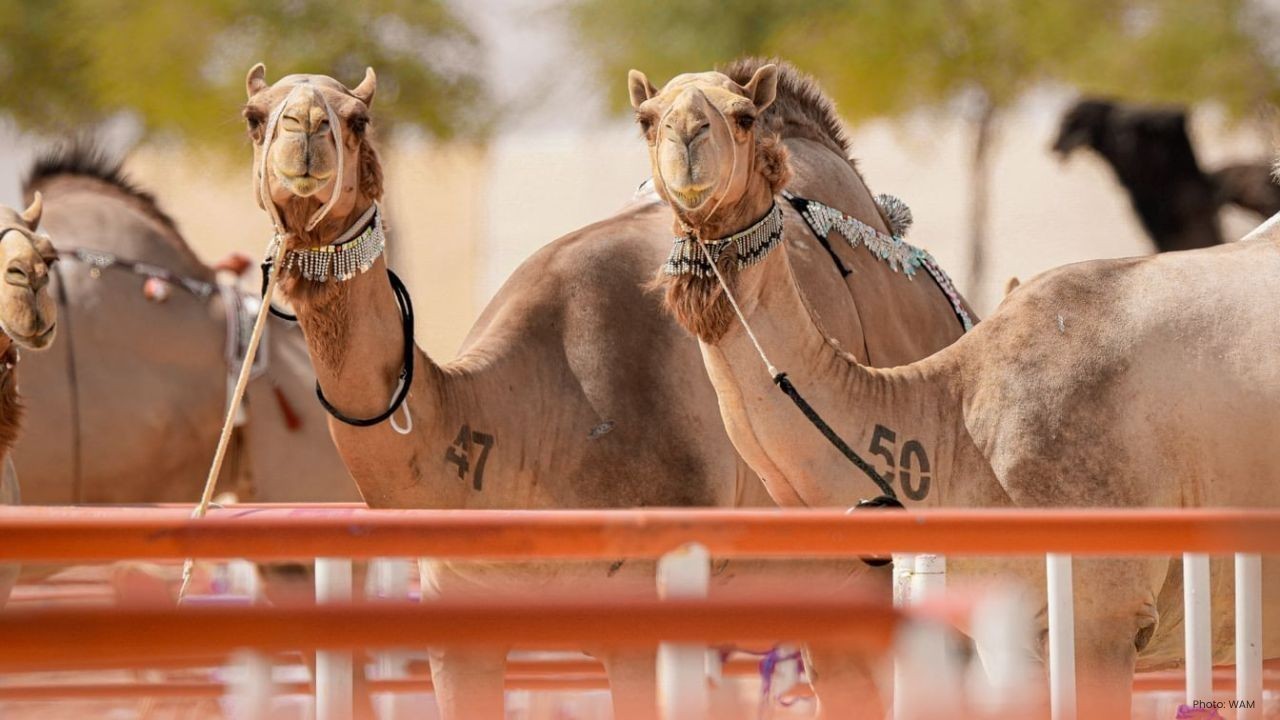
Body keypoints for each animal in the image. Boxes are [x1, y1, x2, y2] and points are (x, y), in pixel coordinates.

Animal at [241, 61, 969, 720]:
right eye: (254, 117)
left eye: (356, 119)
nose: (304, 129)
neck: (521, 426)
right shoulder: (458, 630)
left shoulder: (639, 623)